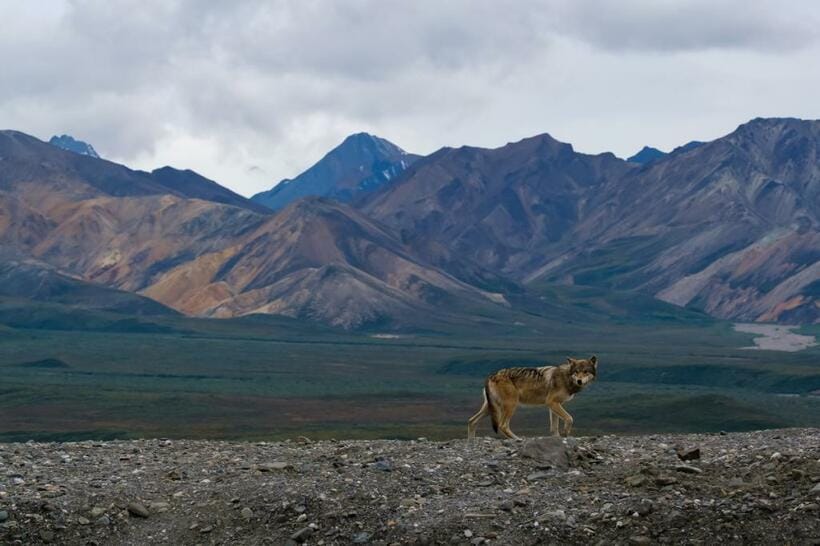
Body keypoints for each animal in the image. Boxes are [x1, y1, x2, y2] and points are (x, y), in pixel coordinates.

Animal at [468, 354, 596, 440]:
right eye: (576, 372)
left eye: (585, 372)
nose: (579, 381)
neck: (566, 378)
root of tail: (491, 375)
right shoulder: (552, 402)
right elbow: (570, 418)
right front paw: (565, 433)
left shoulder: (554, 405)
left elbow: (554, 427)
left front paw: (557, 438)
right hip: (511, 405)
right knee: (502, 425)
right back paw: (517, 439)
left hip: (491, 408)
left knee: (472, 421)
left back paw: (471, 441)